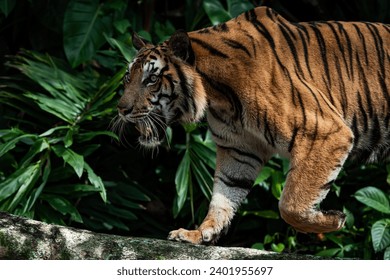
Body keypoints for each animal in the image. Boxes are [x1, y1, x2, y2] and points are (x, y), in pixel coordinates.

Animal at [116, 5, 390, 244]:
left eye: (152, 79)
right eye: (128, 77)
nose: (121, 109)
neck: (216, 96)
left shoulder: (325, 131)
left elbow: (290, 204)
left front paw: (334, 220)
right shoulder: (239, 148)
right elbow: (224, 194)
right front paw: (200, 233)